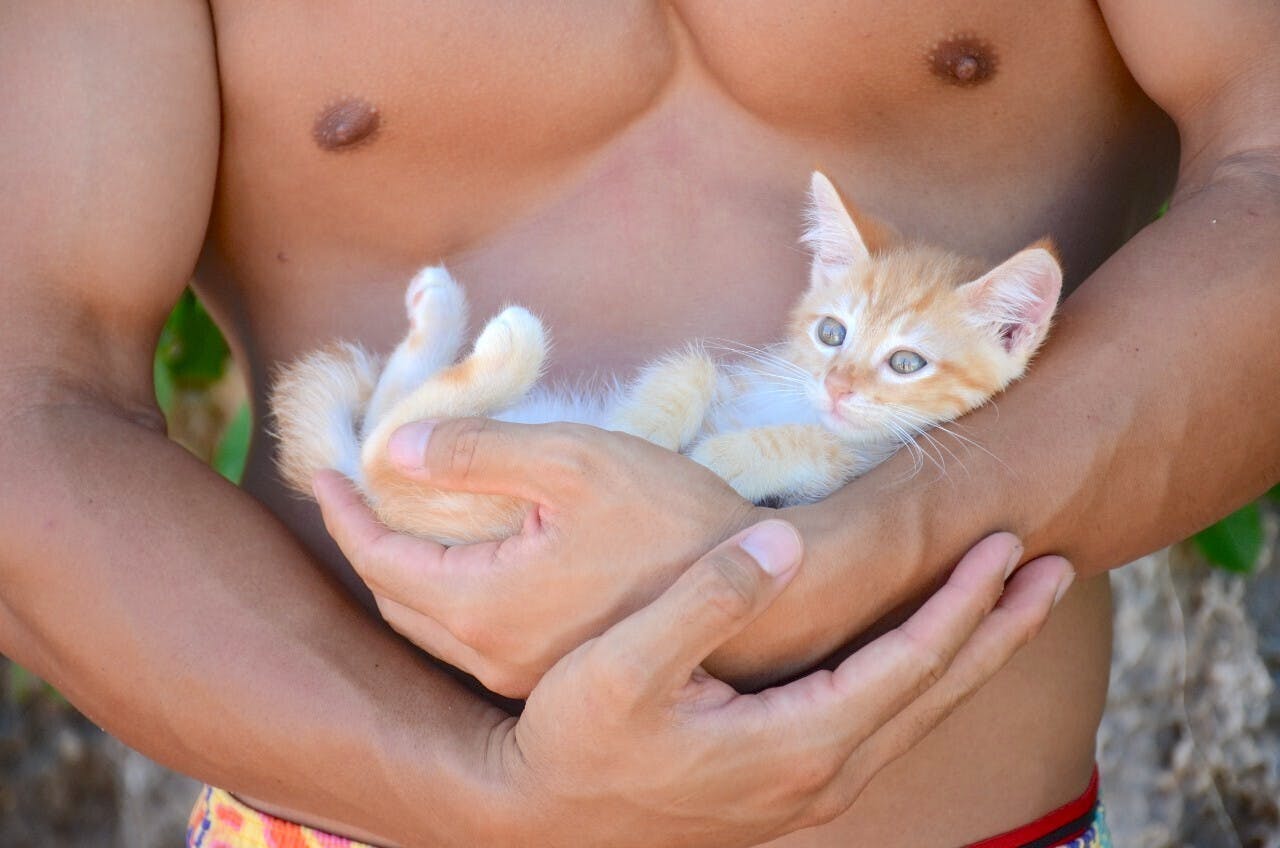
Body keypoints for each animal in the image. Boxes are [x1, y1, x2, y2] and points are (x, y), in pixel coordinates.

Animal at [270, 172, 1059, 545]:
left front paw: (724, 456)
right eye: (833, 334)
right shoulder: (744, 370)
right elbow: (692, 368)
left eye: (906, 364)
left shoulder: (852, 472)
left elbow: (826, 452)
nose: (836, 386)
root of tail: (373, 496)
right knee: (384, 417)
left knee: (391, 432)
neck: (792, 397)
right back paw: (440, 311)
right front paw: (642, 433)